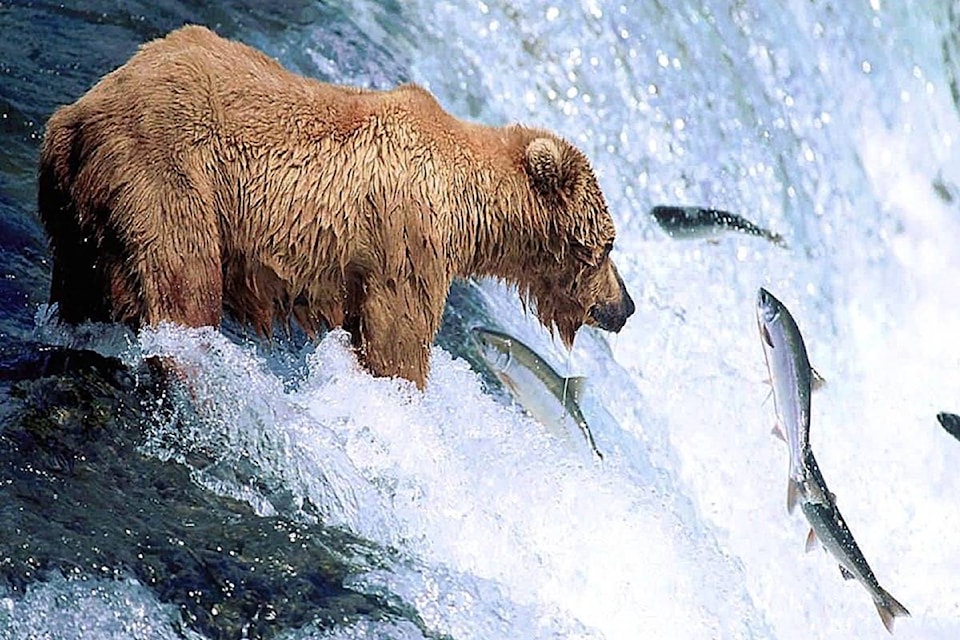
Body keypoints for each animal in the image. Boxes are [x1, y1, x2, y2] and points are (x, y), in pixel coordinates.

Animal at [37, 25, 634, 389]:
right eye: (606, 245)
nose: (624, 306)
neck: (471, 210)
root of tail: (76, 114)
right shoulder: (407, 242)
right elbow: (397, 344)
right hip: (168, 175)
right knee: (184, 288)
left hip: (78, 213)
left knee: (82, 286)